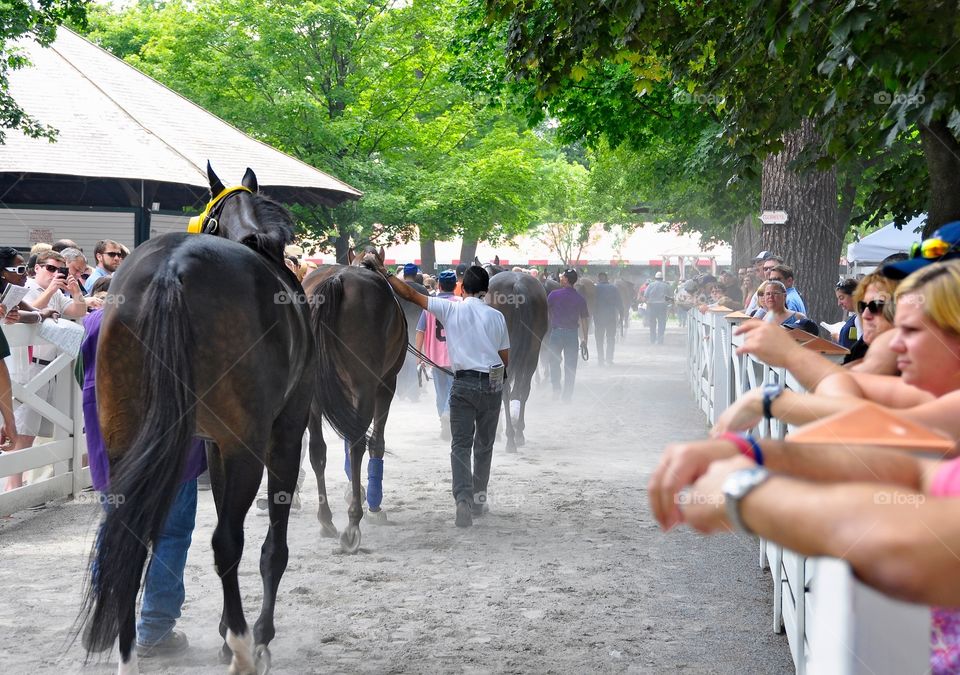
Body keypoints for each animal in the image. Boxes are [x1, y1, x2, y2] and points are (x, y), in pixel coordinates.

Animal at [79, 165, 312, 675]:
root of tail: (173, 268)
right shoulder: (284, 430)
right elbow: (272, 546)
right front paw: (255, 637)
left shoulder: (211, 443)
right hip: (249, 444)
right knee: (228, 541)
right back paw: (244, 647)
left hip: (124, 438)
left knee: (130, 536)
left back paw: (129, 654)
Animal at [300, 248, 404, 556]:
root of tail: (336, 280)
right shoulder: (385, 386)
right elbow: (375, 443)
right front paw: (372, 503)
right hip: (366, 386)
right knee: (359, 443)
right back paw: (353, 523)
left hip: (312, 394)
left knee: (318, 451)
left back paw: (326, 520)